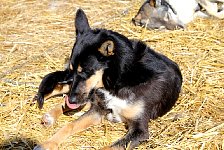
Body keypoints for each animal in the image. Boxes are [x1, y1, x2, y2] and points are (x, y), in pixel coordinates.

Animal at [33, 8, 184, 149]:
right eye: (73, 70)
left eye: (86, 71)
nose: (72, 100)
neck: (119, 81)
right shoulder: (98, 110)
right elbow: (70, 125)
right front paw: (47, 143)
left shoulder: (140, 130)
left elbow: (109, 147)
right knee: (64, 88)